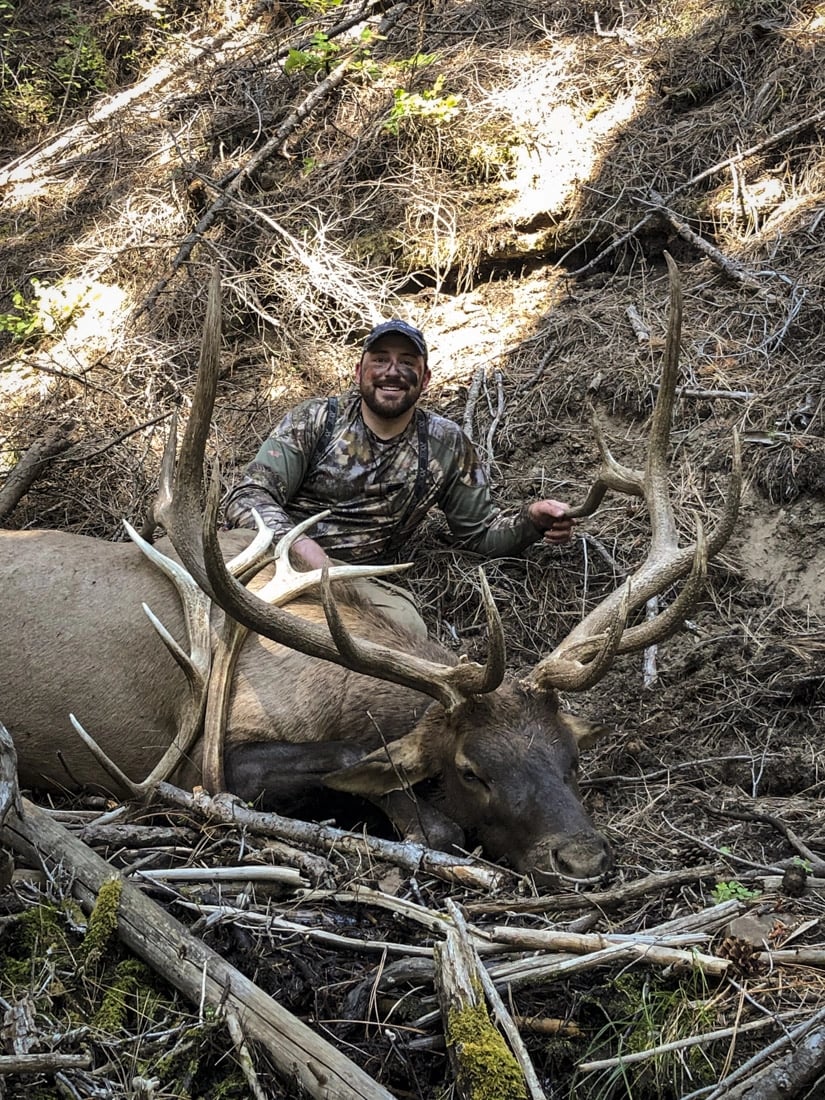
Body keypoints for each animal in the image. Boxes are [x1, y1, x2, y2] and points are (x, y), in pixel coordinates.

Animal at [0, 255, 740, 881]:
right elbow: (379, 781)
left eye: (571, 757)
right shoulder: (206, 768)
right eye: (471, 770)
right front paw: (423, 822)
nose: (581, 857)